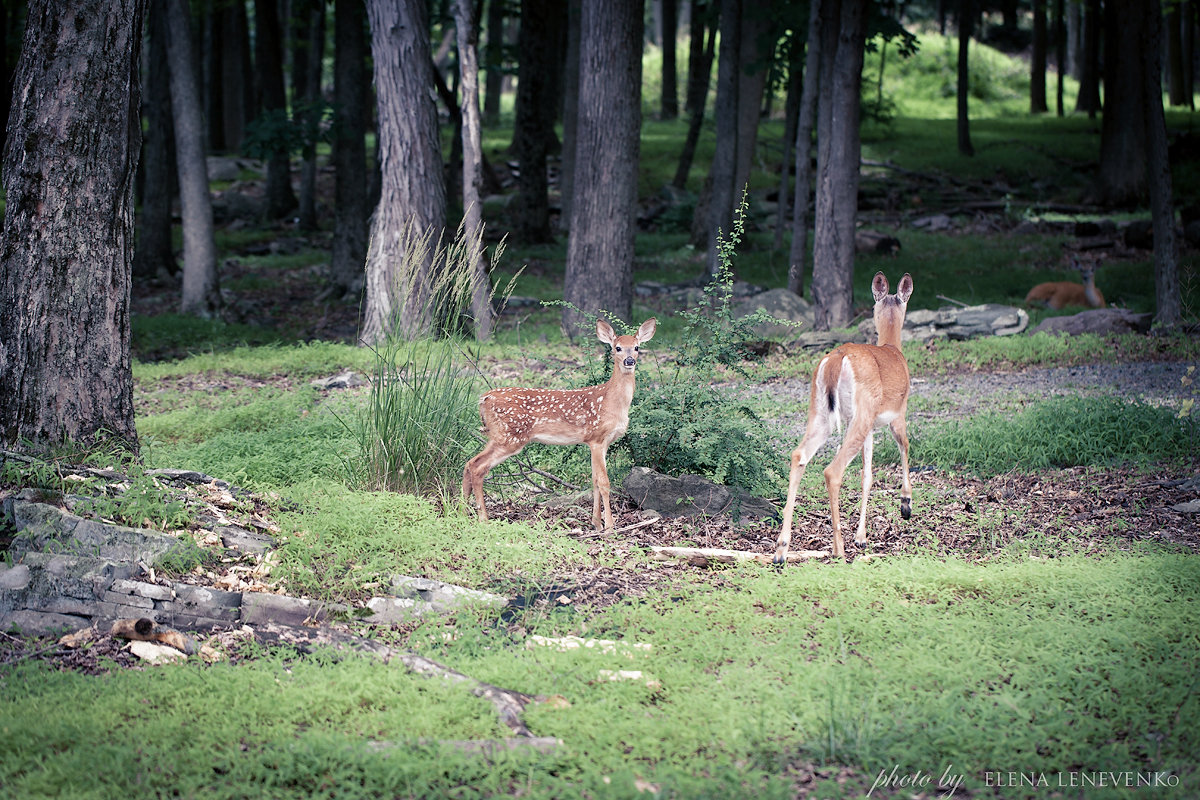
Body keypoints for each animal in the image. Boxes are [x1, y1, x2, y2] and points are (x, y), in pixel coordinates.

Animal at [463, 316, 662, 532]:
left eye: (636, 347)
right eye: (617, 348)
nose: (629, 361)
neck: (612, 402)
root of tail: (484, 398)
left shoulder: (600, 443)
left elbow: (593, 480)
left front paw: (596, 523)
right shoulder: (597, 438)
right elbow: (604, 482)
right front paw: (609, 526)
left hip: (499, 435)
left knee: (468, 464)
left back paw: (461, 511)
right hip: (510, 436)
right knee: (477, 467)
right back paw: (483, 518)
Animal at [772, 272, 912, 561]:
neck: (893, 348)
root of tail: (837, 359)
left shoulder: (869, 426)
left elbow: (867, 476)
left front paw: (861, 537)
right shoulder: (898, 413)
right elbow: (904, 447)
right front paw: (906, 504)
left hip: (821, 412)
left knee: (798, 455)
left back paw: (781, 549)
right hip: (861, 413)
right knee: (832, 471)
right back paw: (838, 548)